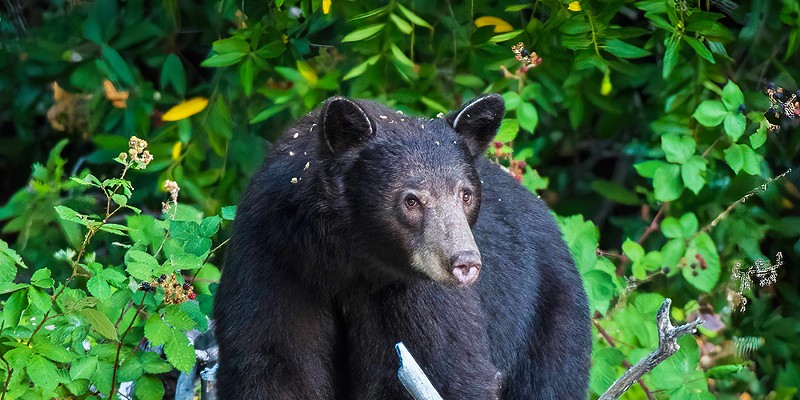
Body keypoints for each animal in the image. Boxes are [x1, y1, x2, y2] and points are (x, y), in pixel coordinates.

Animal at [216, 93, 592, 396]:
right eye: (411, 200)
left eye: (465, 194)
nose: (464, 262)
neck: (347, 261)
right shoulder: (275, 258)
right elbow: (277, 363)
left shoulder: (415, 295)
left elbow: (443, 369)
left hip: (548, 317)